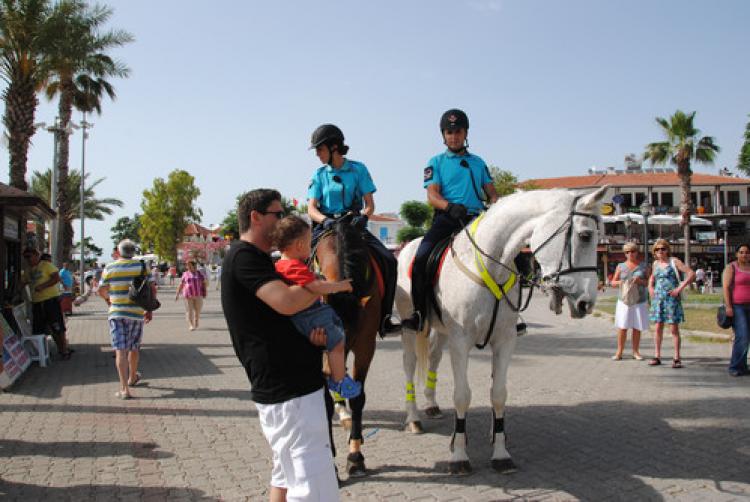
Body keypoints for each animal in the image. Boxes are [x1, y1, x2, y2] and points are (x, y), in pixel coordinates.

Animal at [314, 218, 384, 476]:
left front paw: (355, 455)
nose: (328, 370)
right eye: (325, 328)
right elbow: (323, 402)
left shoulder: (364, 344)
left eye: (349, 335)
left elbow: (358, 398)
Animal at [396, 186, 608, 472]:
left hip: (441, 332)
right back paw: (414, 419)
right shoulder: (460, 341)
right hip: (411, 327)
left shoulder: (504, 340)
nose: (587, 303)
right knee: (410, 364)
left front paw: (500, 450)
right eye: (585, 236)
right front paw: (459, 455)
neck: (489, 265)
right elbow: (462, 396)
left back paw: (431, 404)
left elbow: (498, 393)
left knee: (434, 358)